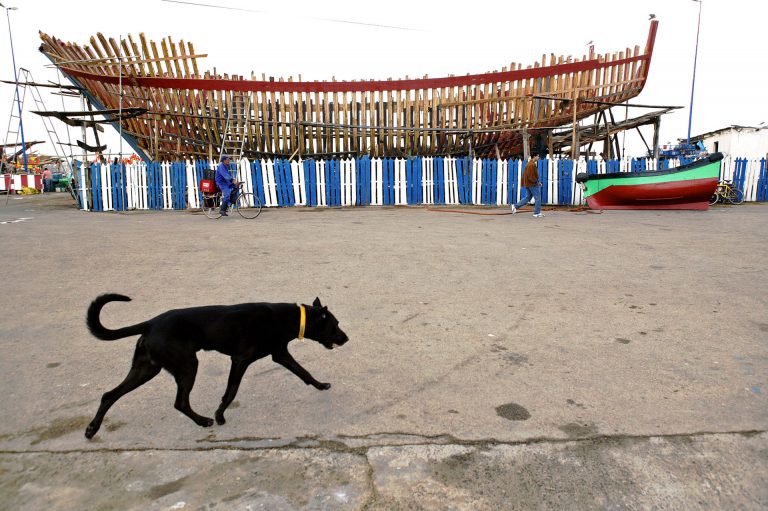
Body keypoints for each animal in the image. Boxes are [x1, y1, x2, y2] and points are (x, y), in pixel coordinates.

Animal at [84, 294, 348, 438]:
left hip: (146, 368)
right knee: (180, 402)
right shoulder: (240, 360)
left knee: (109, 395)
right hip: (188, 365)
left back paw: (91, 429)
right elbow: (230, 392)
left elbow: (303, 371)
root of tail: (150, 323)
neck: (287, 317)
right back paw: (203, 421)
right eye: (335, 324)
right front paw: (220, 414)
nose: (346, 338)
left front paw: (320, 385)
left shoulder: (280, 354)